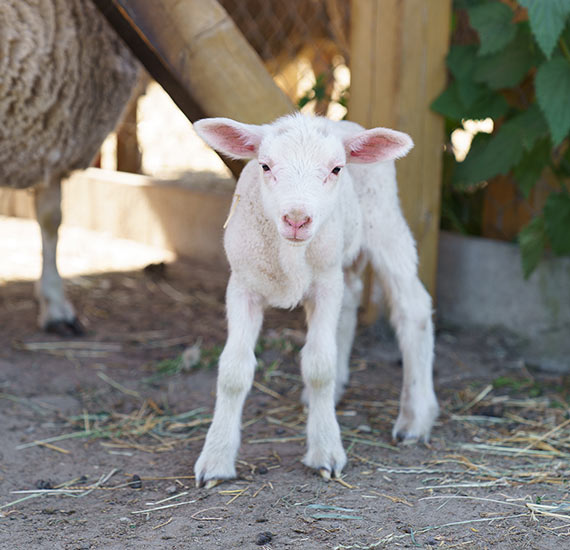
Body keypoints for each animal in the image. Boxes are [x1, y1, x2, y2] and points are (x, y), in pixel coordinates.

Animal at [193, 114, 438, 490]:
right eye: (265, 165)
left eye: (336, 169)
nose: (296, 219)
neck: (289, 255)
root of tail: (344, 123)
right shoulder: (243, 285)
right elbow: (233, 371)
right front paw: (216, 458)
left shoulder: (324, 283)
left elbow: (319, 367)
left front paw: (326, 451)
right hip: (341, 260)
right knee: (350, 303)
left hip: (383, 224)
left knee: (414, 308)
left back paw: (415, 418)